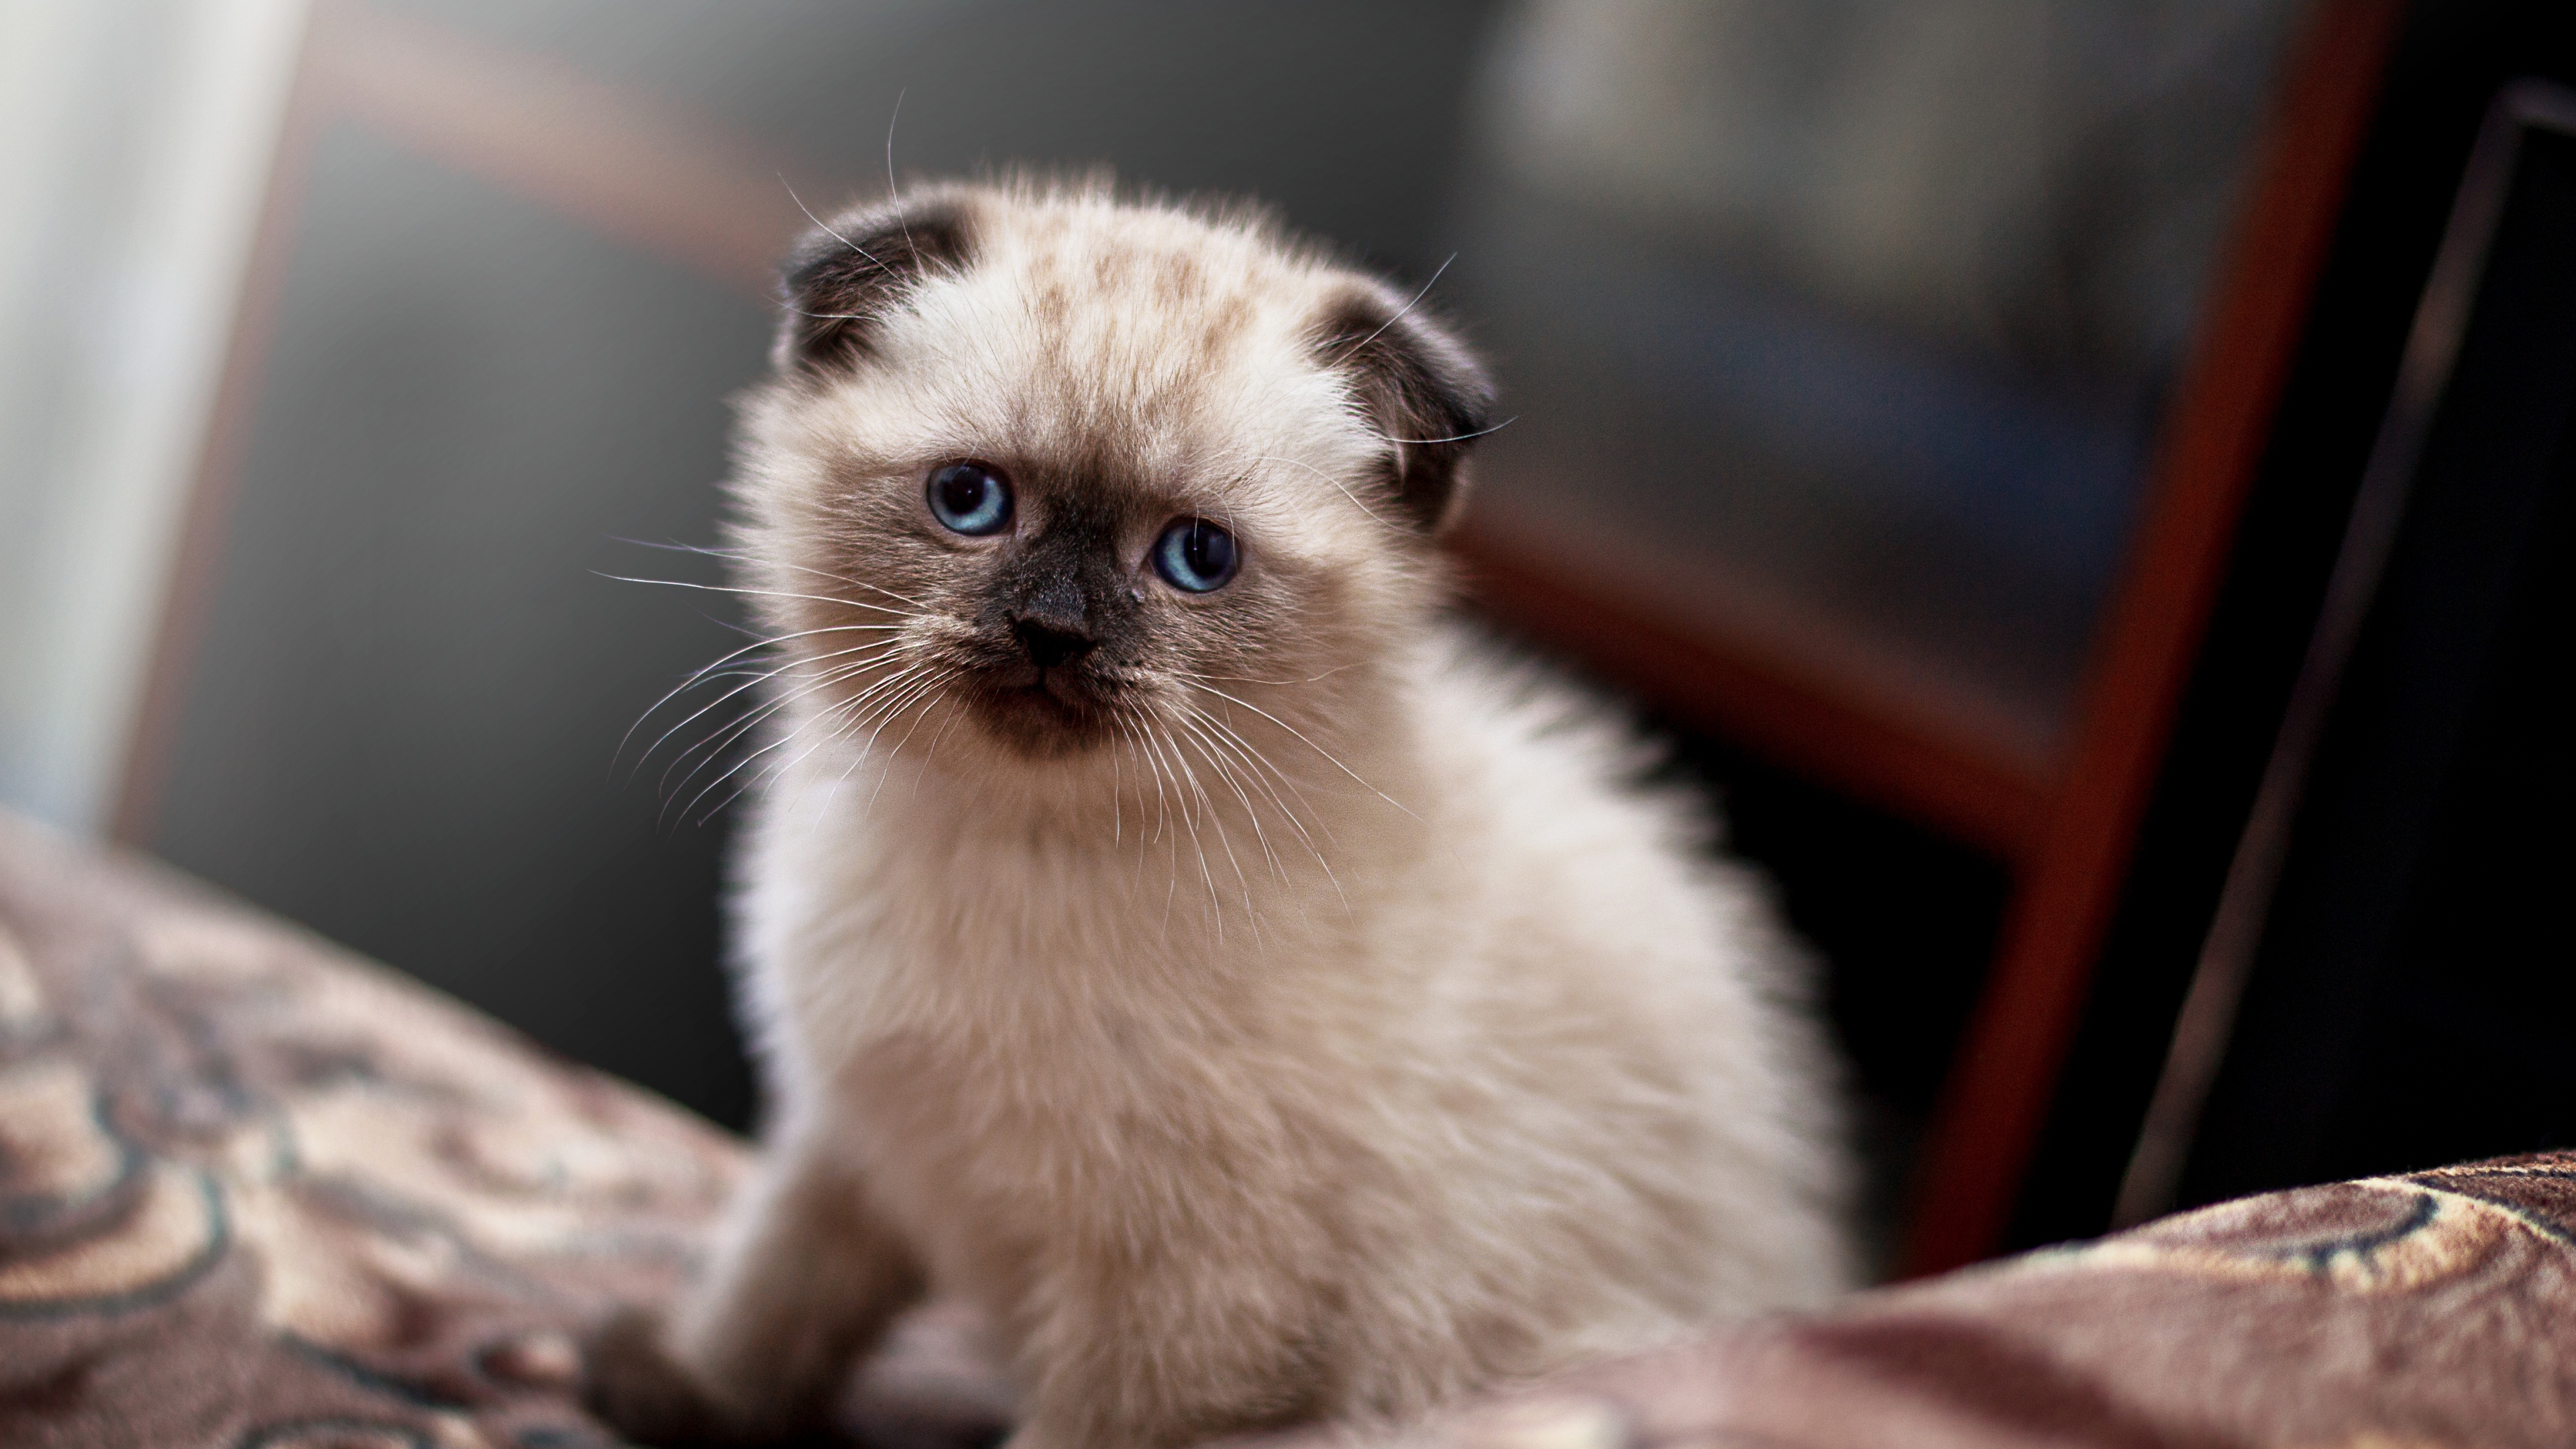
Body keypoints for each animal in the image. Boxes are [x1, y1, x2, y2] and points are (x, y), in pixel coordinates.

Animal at [586, 175, 1852, 1449]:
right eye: (970, 500)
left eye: (1196, 557)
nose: (1053, 632)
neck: (1009, 851)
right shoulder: (854, 1133)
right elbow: (774, 1287)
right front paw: (678, 1392)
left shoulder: (1184, 1303)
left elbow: (1066, 1437)